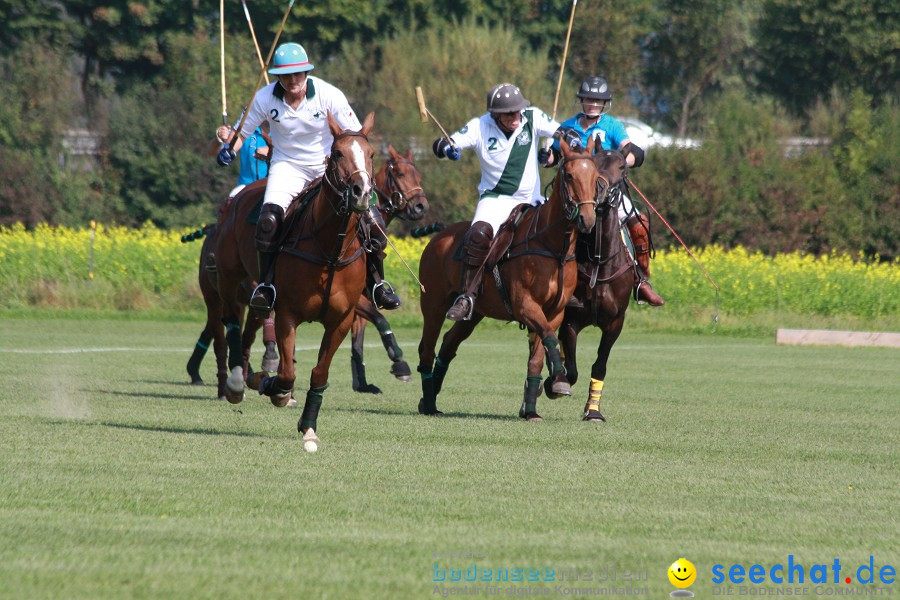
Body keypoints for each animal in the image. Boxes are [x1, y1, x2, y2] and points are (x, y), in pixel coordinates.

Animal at [215, 112, 376, 442]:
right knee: (232, 321)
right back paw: (237, 383)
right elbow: (287, 373)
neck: (330, 251)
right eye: (337, 153)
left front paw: (309, 425)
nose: (362, 192)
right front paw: (269, 385)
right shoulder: (287, 312)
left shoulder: (341, 320)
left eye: (371, 154)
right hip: (229, 277)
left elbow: (319, 373)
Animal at [348, 145, 428, 394]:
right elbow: (380, 319)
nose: (421, 206)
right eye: (400, 174)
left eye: (419, 176)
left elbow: (358, 339)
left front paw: (362, 384)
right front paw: (399, 362)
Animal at [418, 141, 608, 422]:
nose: (587, 219)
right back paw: (429, 402)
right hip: (433, 304)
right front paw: (560, 379)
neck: (554, 249)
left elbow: (538, 355)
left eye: (596, 178)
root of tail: (438, 236)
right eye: (569, 175)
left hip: (475, 312)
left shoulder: (554, 312)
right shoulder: (525, 304)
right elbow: (549, 337)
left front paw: (532, 409)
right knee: (427, 348)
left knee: (449, 342)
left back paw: (429, 397)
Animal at [556, 150, 632, 422]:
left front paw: (593, 411)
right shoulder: (571, 320)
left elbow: (599, 366)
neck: (600, 261)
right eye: (596, 162)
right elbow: (571, 370)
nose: (600, 189)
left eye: (622, 167)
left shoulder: (615, 323)